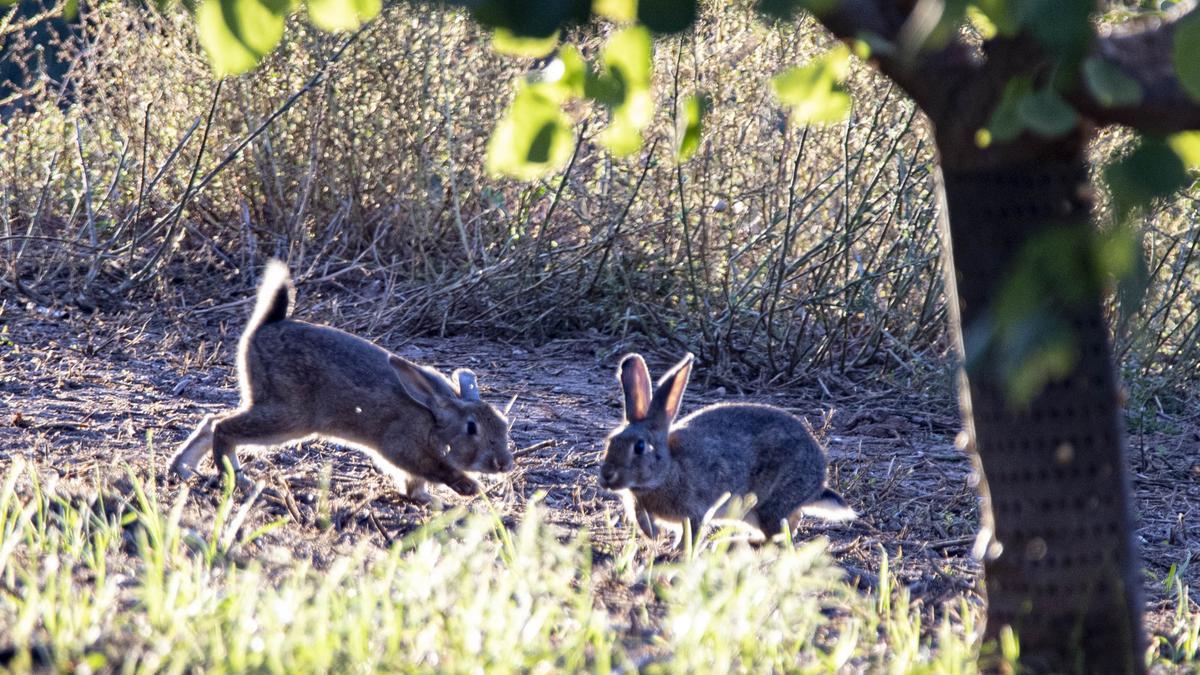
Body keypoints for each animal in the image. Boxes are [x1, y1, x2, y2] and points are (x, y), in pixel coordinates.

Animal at [166, 258, 513, 499]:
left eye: (503, 424)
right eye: (472, 428)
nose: (504, 464)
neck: (434, 423)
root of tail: (265, 328)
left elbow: (415, 485)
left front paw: (428, 500)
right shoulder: (401, 446)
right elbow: (433, 469)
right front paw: (468, 487)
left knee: (211, 421)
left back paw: (182, 469)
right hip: (290, 416)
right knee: (224, 427)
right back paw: (238, 478)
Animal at [600, 353, 854, 540]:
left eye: (640, 447)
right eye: (610, 441)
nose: (606, 478)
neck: (669, 470)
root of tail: (819, 481)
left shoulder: (696, 511)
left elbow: (691, 536)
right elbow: (644, 520)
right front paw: (654, 535)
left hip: (771, 504)